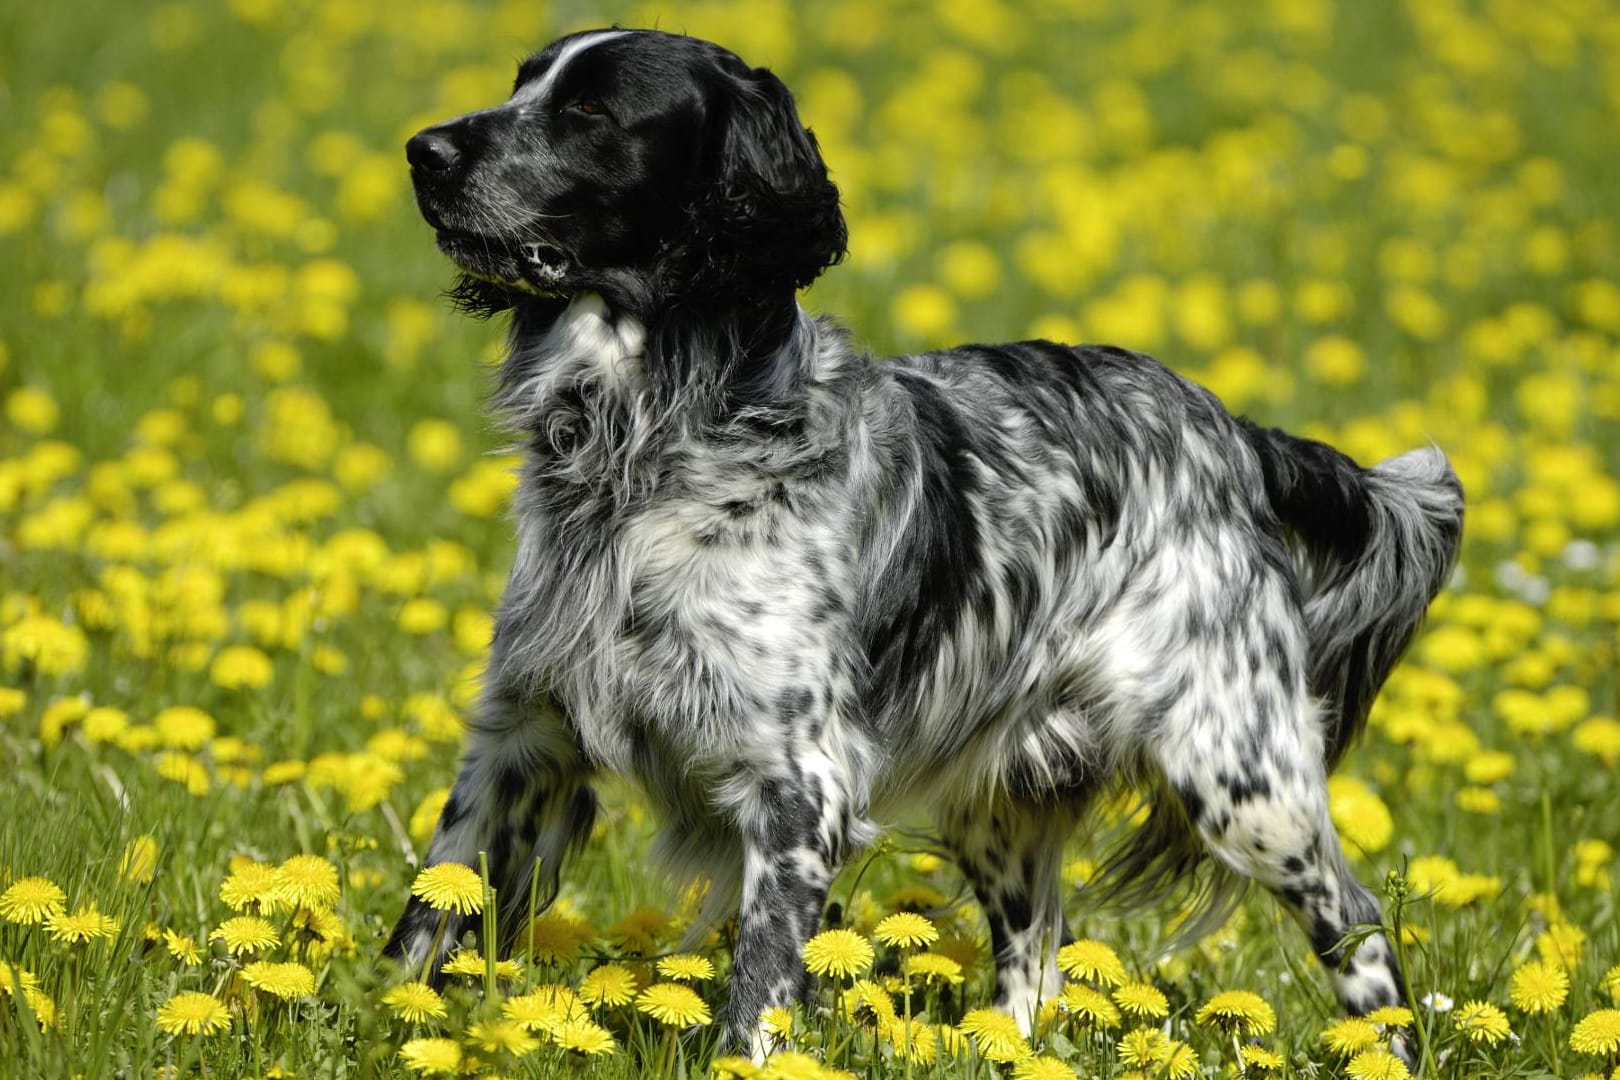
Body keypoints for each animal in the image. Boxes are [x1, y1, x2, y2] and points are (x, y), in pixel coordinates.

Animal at [385, 29, 1464, 1062]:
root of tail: (1230, 429)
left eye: (592, 110)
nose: (422, 149)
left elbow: (759, 993)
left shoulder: (798, 788)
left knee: (1359, 927)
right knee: (1035, 965)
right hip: (1006, 799)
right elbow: (422, 930)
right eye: (520, 82)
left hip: (1241, 776)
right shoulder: (519, 744)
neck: (645, 450)